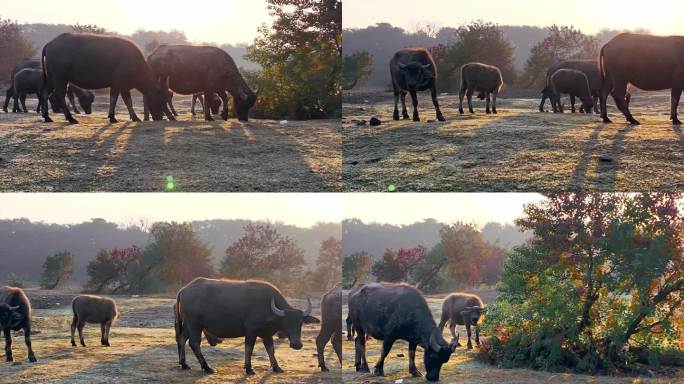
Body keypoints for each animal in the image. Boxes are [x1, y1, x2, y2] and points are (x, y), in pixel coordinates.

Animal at [40, 33, 168, 124]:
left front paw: (135, 117)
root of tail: (50, 43)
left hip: (52, 78)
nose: (160, 117)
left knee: (45, 93)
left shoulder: (124, 86)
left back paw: (47, 117)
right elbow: (114, 99)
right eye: (161, 100)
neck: (134, 62)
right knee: (60, 95)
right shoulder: (117, 84)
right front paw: (112, 117)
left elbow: (128, 102)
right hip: (60, 78)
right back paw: (71, 118)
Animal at [174, 278, 318, 374]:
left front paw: (276, 367)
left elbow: (270, 350)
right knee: (194, 343)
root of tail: (183, 290)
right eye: (286, 322)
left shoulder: (267, 334)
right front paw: (249, 368)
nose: (297, 345)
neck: (268, 307)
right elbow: (249, 348)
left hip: (187, 324)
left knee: (182, 339)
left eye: (300, 323)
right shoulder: (251, 331)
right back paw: (206, 367)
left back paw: (184, 364)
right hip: (195, 325)